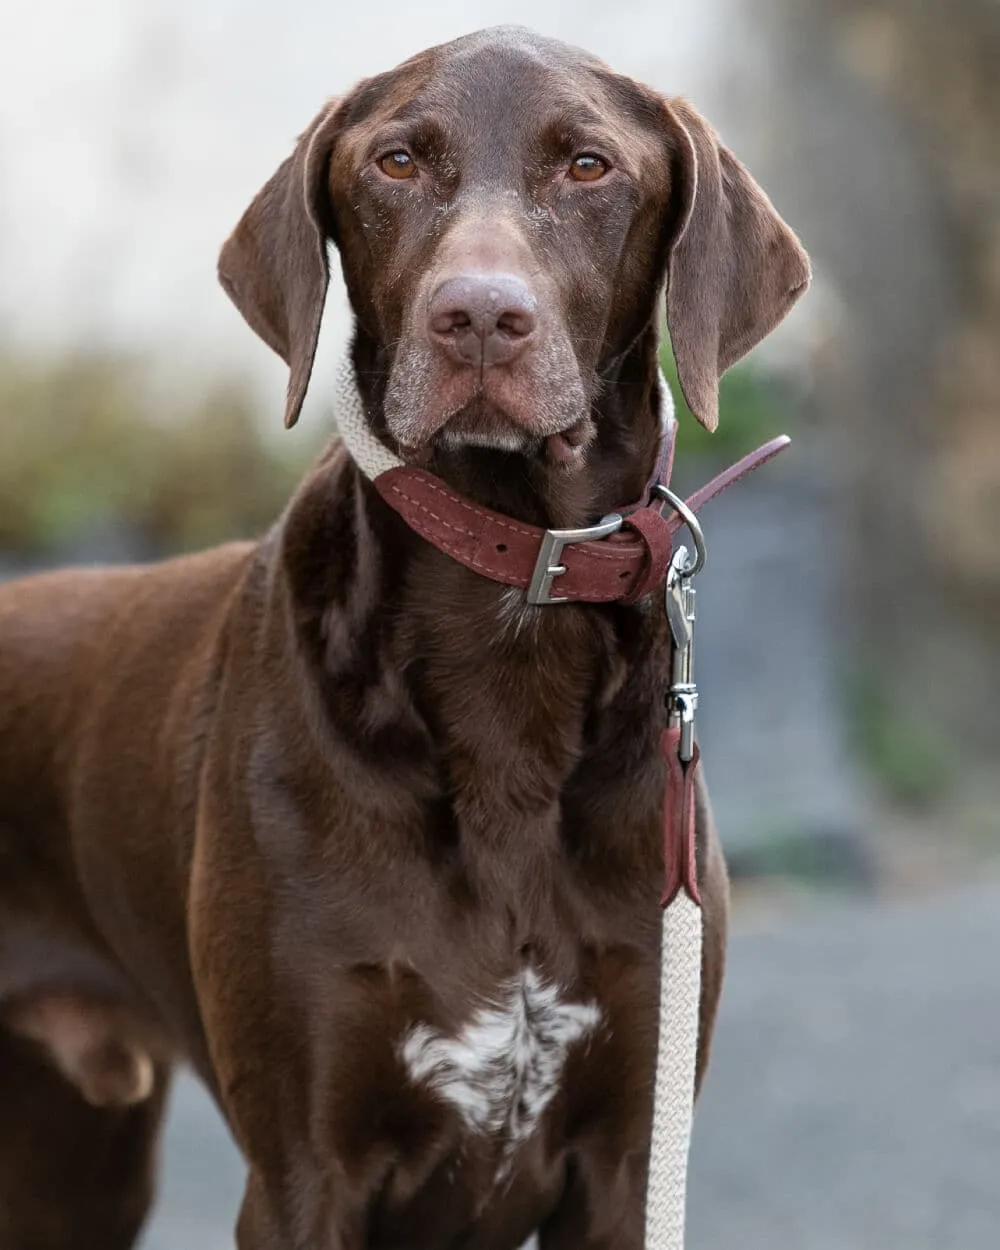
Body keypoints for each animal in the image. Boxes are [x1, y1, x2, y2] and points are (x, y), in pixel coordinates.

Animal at [0, 22, 805, 1250]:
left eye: (589, 166)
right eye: (397, 162)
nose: (477, 318)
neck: (506, 622)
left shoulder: (626, 1162)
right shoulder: (303, 1174)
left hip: (70, 1163)